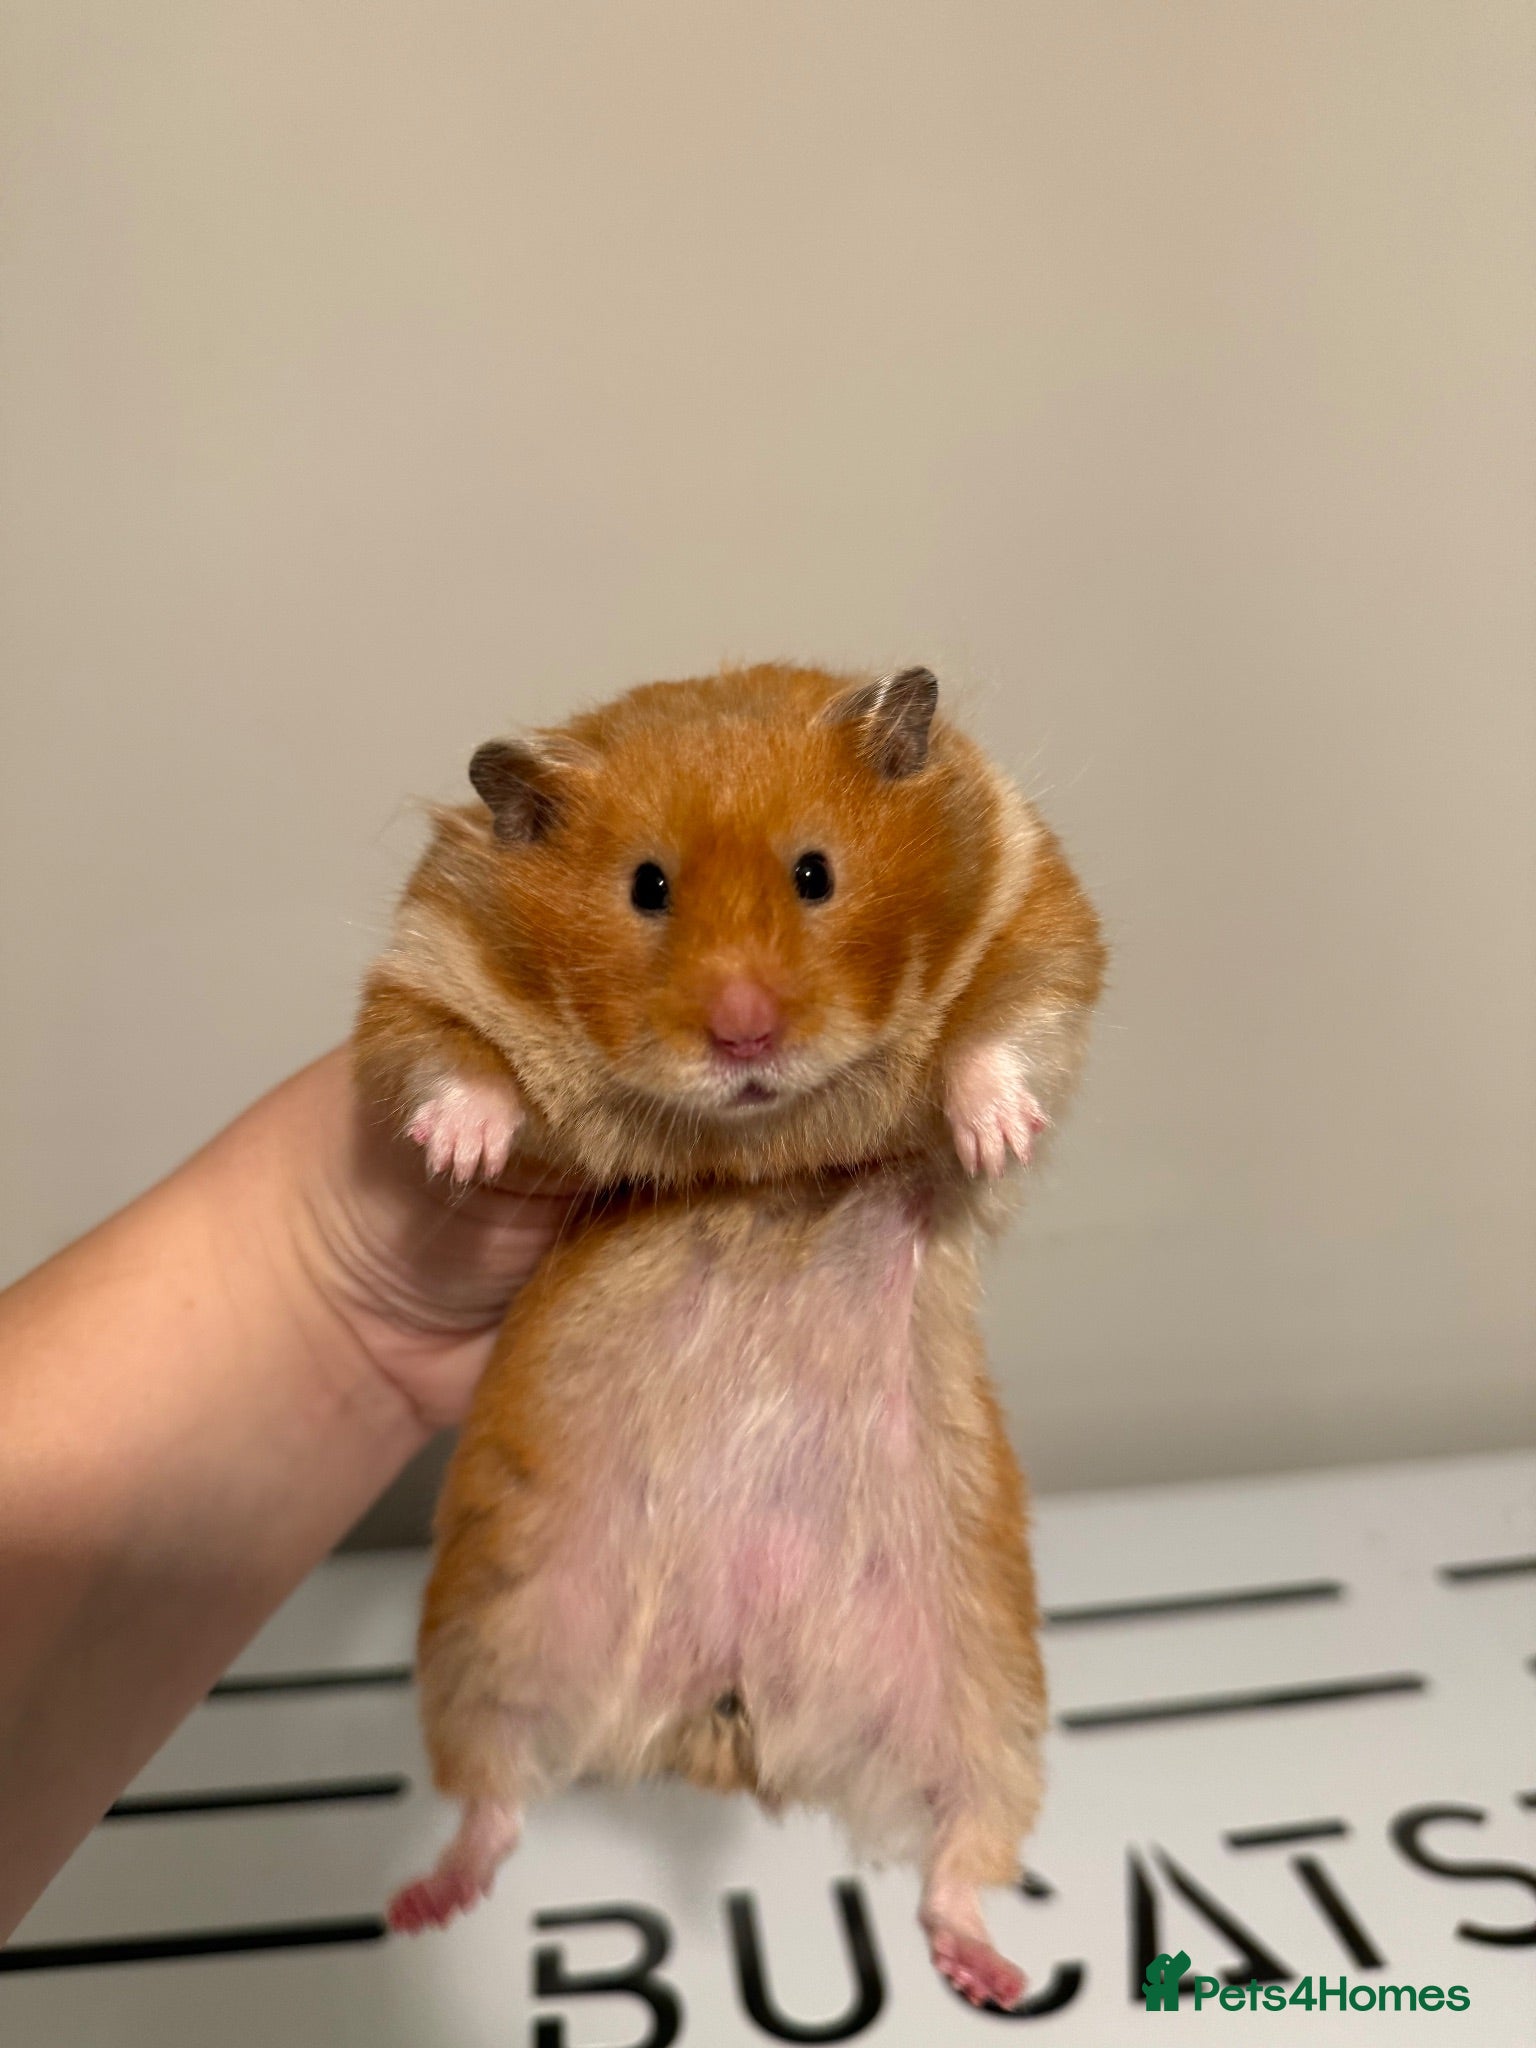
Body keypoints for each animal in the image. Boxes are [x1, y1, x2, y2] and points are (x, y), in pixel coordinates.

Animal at [354, 662, 1105, 2011]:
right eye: (646, 887)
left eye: (815, 871)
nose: (745, 1035)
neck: (756, 1141)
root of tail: (721, 1724)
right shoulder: (422, 968)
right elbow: (448, 1062)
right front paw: (461, 1154)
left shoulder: (1041, 914)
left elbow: (1001, 1031)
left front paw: (994, 1137)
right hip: (487, 1636)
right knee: (493, 1795)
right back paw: (421, 1903)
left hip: (988, 1690)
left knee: (957, 1855)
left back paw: (990, 1974)